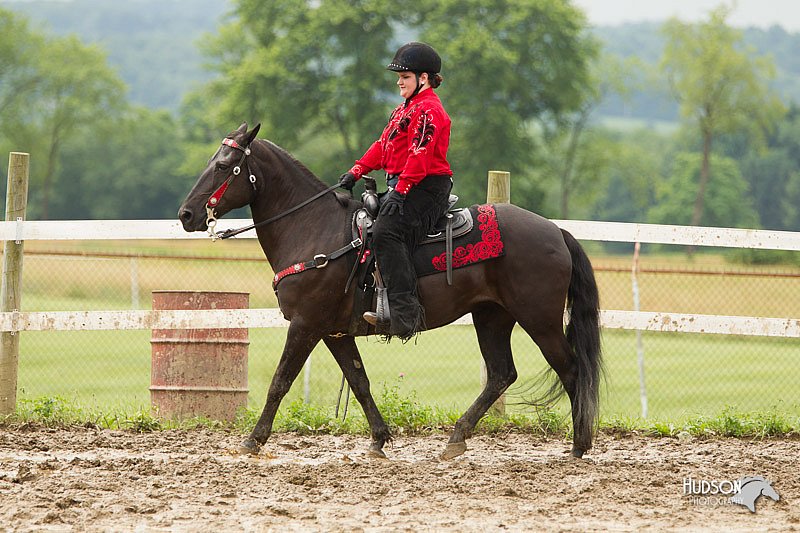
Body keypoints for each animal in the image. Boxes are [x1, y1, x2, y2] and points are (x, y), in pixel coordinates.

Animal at [177, 122, 600, 460]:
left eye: (222, 166)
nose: (186, 214)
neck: (314, 229)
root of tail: (556, 232)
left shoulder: (305, 325)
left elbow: (281, 381)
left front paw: (253, 440)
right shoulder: (334, 332)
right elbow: (359, 381)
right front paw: (379, 439)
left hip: (539, 320)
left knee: (571, 369)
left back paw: (579, 445)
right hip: (491, 317)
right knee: (501, 375)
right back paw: (456, 438)